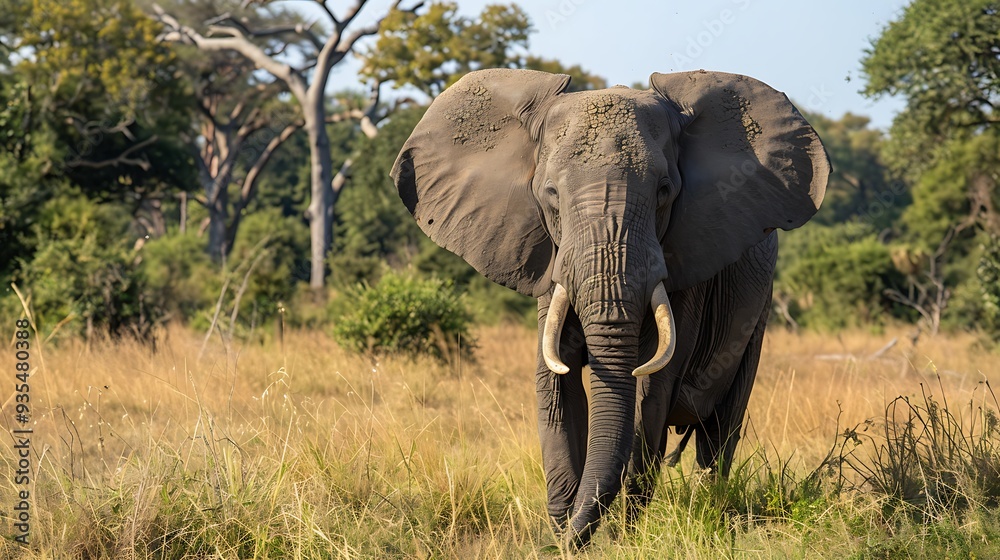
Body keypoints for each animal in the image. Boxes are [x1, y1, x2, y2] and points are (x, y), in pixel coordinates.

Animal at [391, 68, 829, 547]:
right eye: (550, 194)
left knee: (720, 432)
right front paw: (565, 536)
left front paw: (620, 539)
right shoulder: (551, 262)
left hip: (760, 307)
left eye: (664, 192)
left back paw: (708, 512)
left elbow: (647, 391)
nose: (562, 544)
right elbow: (555, 384)